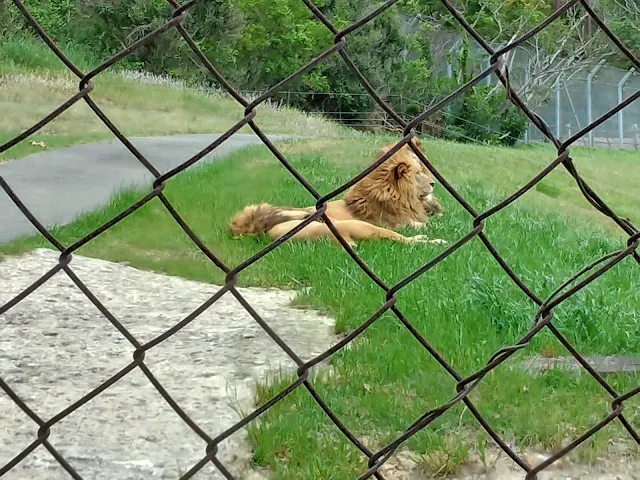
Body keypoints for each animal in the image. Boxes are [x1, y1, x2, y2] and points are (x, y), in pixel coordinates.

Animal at [229, 135, 444, 248]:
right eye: (418, 173)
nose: (433, 183)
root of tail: (264, 231)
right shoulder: (396, 223)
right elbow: (422, 224)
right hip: (357, 225)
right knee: (402, 240)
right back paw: (433, 241)